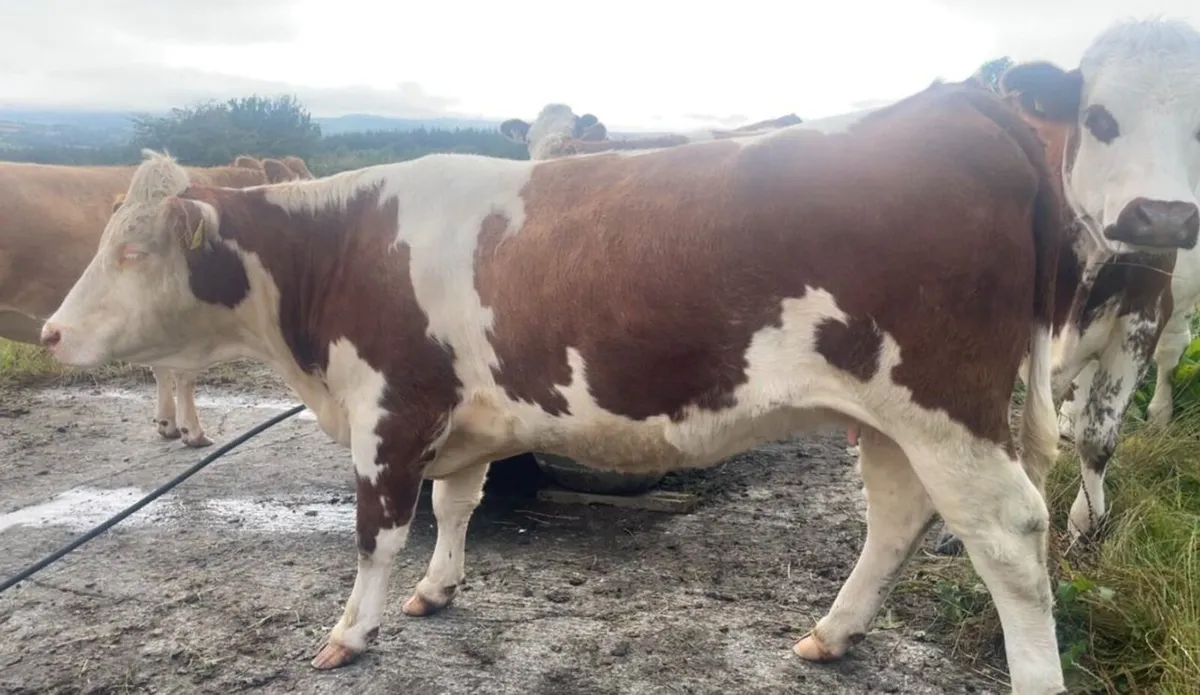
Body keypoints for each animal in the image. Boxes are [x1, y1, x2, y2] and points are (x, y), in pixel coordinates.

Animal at [39, 74, 1085, 693]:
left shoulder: (389, 405)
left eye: (130, 248)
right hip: (892, 413)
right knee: (899, 514)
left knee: (1009, 534)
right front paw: (439, 589)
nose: (49, 331)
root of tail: (960, 104)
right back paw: (832, 633)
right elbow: (456, 502)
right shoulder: (463, 414)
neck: (338, 254)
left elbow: (378, 530)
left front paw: (349, 631)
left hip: (947, 403)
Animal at [930, 17, 1200, 556]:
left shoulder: (1142, 316)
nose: (1163, 217)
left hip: (1180, 305)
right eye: (1097, 119)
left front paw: (1085, 522)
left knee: (1169, 355)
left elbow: (1101, 436)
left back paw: (1157, 412)